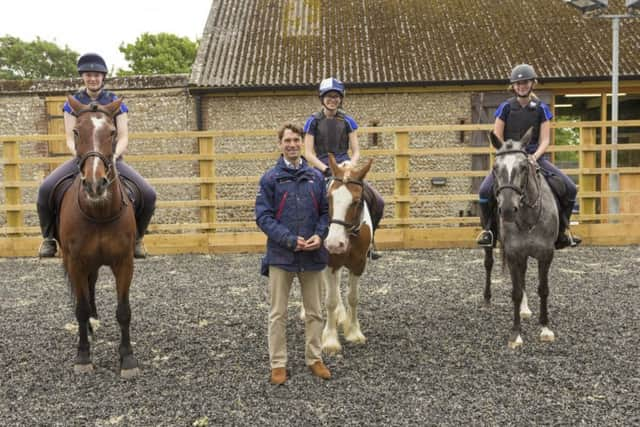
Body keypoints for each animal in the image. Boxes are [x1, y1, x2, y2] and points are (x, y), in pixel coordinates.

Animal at [57, 96, 139, 378]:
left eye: (112, 132)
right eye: (75, 132)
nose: (95, 185)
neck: (99, 212)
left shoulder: (124, 262)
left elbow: (123, 311)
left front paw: (127, 358)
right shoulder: (75, 262)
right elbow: (80, 309)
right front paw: (83, 356)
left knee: (91, 284)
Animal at [322, 154, 372, 354]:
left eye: (356, 201)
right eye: (328, 198)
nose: (335, 243)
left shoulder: (359, 264)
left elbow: (353, 298)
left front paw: (354, 332)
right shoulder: (329, 263)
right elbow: (330, 300)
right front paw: (330, 340)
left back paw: (341, 317)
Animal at [484, 129, 556, 350]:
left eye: (524, 167)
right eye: (495, 167)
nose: (507, 209)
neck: (528, 218)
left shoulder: (545, 254)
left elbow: (543, 289)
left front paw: (545, 328)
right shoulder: (514, 253)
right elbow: (515, 292)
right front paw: (515, 334)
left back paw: (525, 310)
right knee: (488, 263)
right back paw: (487, 299)